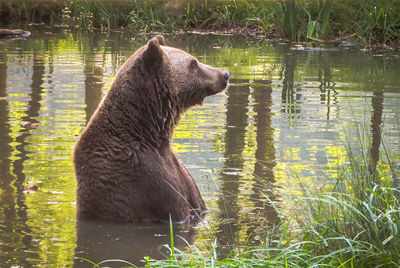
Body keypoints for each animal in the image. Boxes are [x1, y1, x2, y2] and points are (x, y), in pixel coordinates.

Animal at [74, 36, 230, 224]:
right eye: (193, 63)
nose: (225, 74)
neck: (149, 133)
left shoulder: (178, 172)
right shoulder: (144, 177)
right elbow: (175, 207)